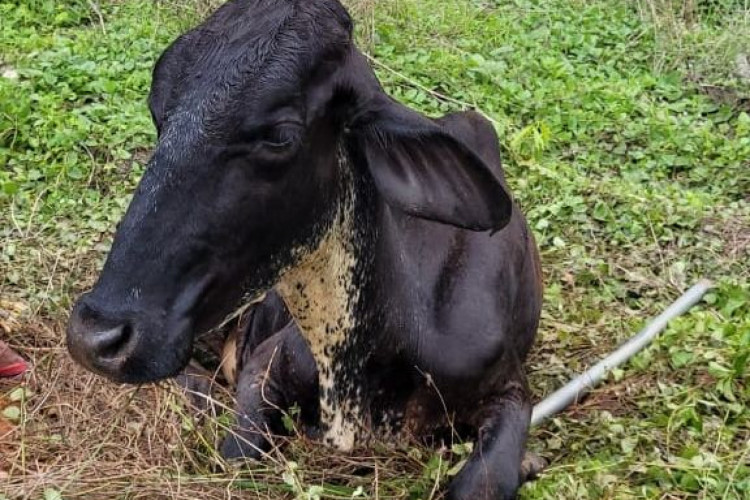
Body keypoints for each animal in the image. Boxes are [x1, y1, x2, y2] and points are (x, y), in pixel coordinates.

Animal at [67, 1, 544, 498]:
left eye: (279, 134)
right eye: (158, 112)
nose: (95, 335)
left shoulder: (510, 392)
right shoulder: (265, 367)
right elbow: (239, 451)